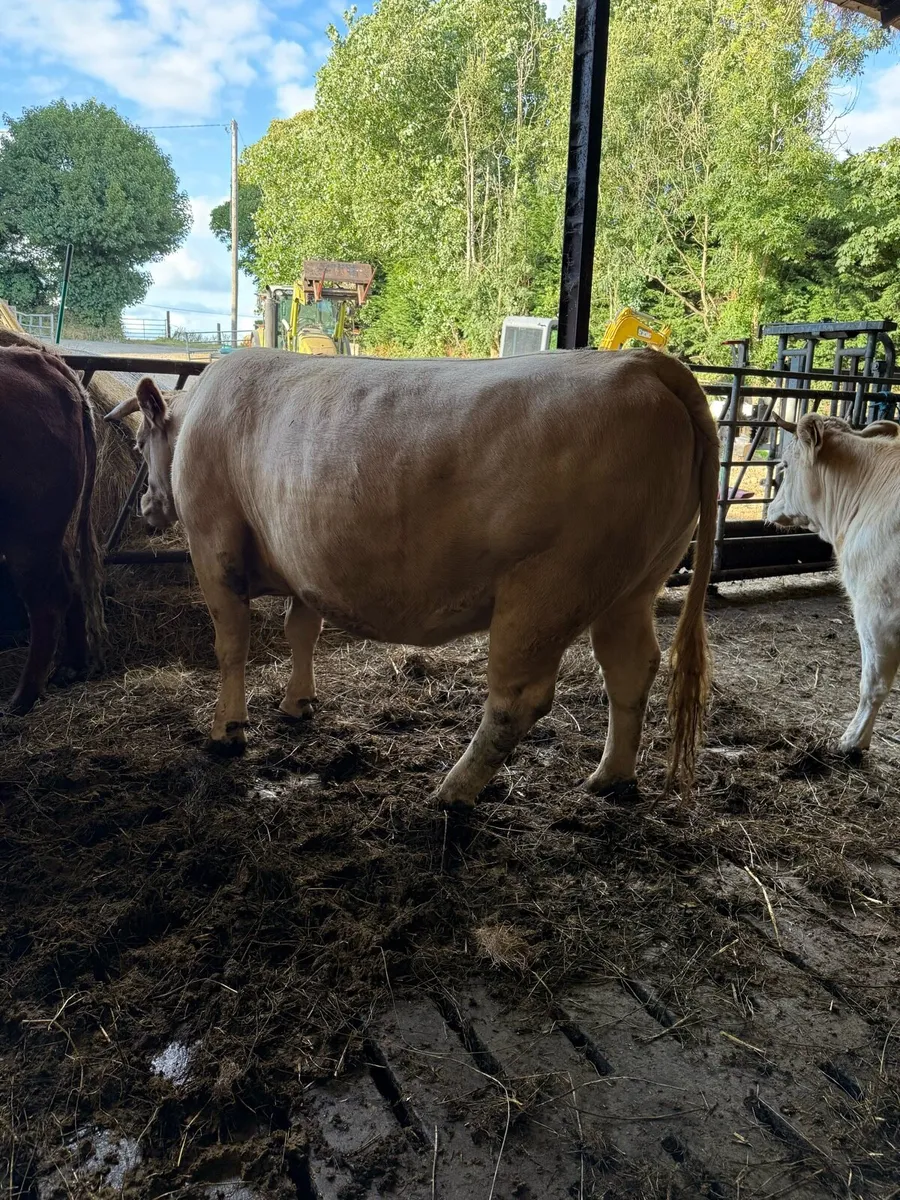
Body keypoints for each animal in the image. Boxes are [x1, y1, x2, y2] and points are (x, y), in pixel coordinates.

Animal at [0, 346, 105, 714]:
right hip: (53, 532)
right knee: (69, 585)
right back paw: (69, 667)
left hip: (28, 532)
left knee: (47, 601)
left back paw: (21, 699)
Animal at [106, 347, 719, 808]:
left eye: (139, 443)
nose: (145, 506)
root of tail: (642, 362)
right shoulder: (303, 563)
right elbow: (301, 631)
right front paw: (298, 703)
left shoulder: (214, 545)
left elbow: (232, 644)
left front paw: (226, 732)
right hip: (633, 586)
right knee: (630, 669)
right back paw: (610, 777)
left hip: (547, 588)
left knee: (518, 698)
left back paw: (454, 790)